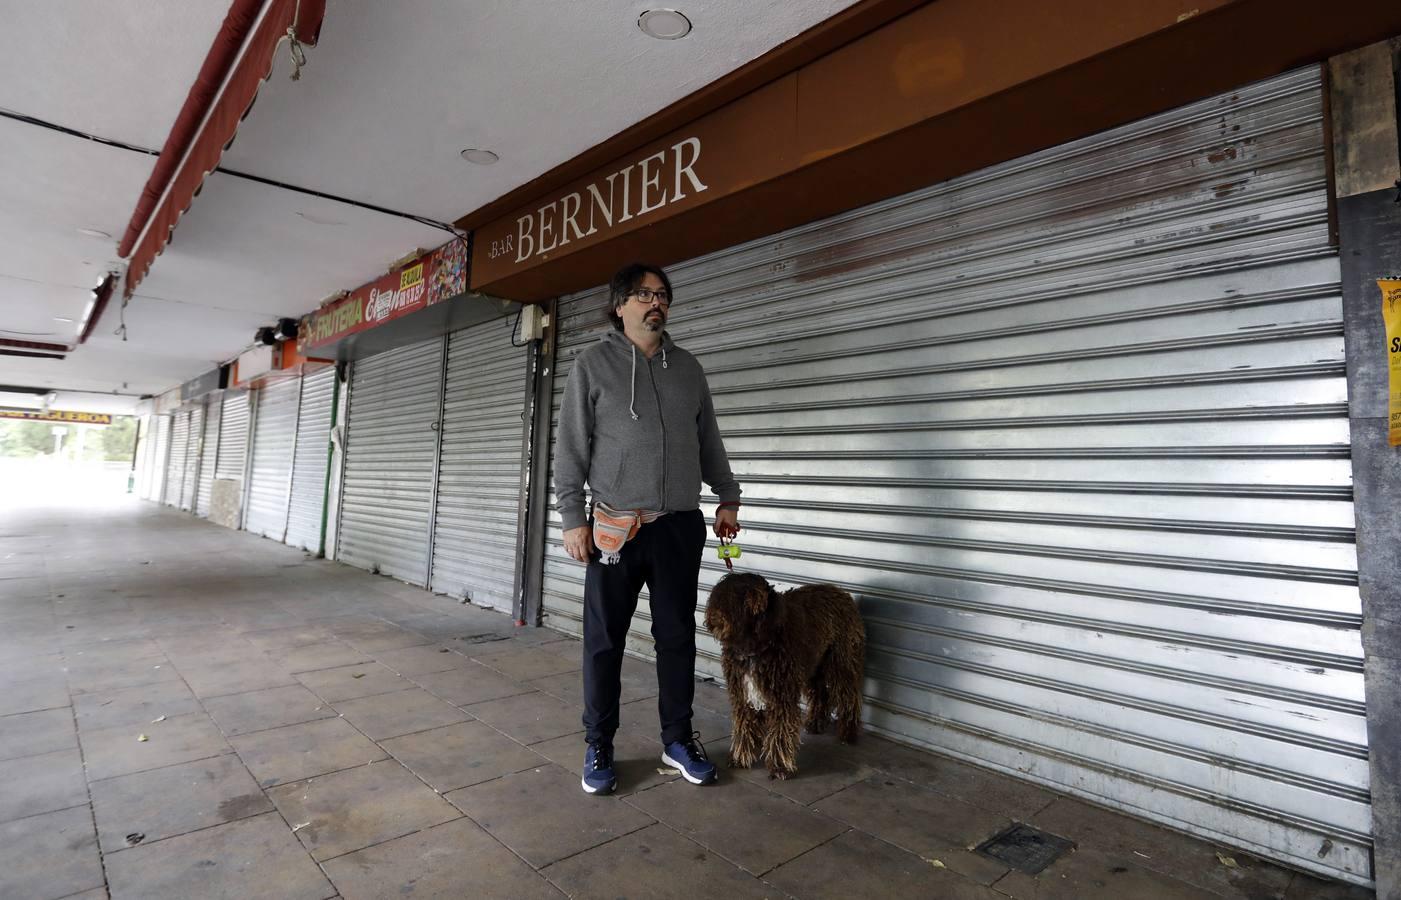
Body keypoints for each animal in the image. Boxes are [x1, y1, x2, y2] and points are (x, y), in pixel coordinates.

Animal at [706, 574, 857, 779]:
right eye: (719, 597)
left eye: (737, 600)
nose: (713, 617)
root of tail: (840, 591)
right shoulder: (743, 695)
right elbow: (744, 726)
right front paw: (740, 757)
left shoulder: (781, 695)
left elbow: (780, 730)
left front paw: (780, 766)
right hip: (815, 665)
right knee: (820, 694)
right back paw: (816, 723)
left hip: (840, 662)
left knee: (849, 695)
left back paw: (849, 731)